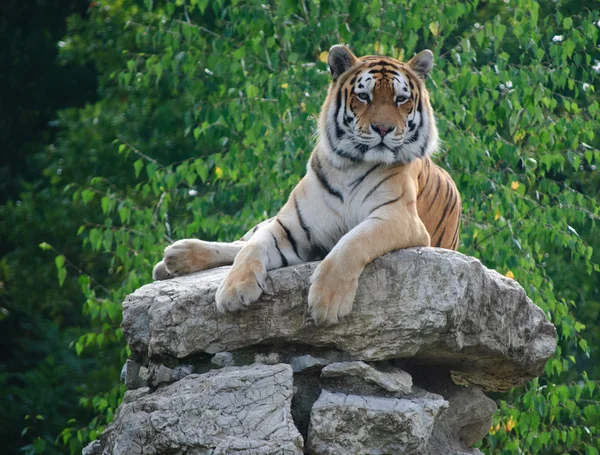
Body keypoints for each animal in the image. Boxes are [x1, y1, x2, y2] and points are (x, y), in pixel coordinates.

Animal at [152, 44, 462, 326]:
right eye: (364, 96)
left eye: (400, 99)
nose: (383, 129)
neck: (351, 164)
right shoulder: (292, 225)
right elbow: (252, 247)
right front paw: (234, 289)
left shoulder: (398, 218)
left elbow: (352, 242)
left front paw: (327, 301)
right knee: (243, 241)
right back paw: (174, 258)